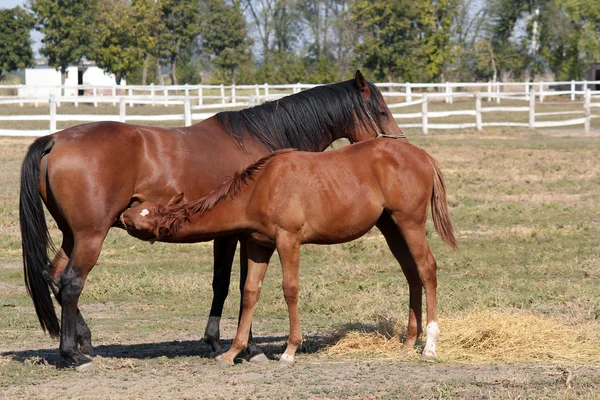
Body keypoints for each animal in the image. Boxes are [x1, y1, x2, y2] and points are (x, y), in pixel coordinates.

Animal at [123, 139, 460, 368]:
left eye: (143, 215)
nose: (123, 214)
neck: (260, 187)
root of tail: (421, 154)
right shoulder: (259, 245)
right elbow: (250, 292)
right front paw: (233, 351)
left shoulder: (288, 240)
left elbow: (290, 290)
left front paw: (289, 350)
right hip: (391, 226)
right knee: (412, 273)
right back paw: (409, 342)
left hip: (410, 222)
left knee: (427, 269)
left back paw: (429, 345)